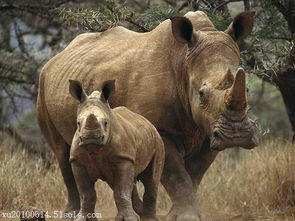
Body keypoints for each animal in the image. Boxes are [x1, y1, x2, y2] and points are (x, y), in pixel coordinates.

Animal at [67, 79, 164, 221]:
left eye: (106, 123)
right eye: (78, 123)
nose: (91, 138)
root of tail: (149, 123)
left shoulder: (123, 158)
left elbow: (121, 190)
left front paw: (129, 218)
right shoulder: (77, 161)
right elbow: (86, 193)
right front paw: (83, 218)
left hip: (158, 141)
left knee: (150, 180)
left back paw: (148, 218)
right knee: (121, 182)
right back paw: (136, 214)